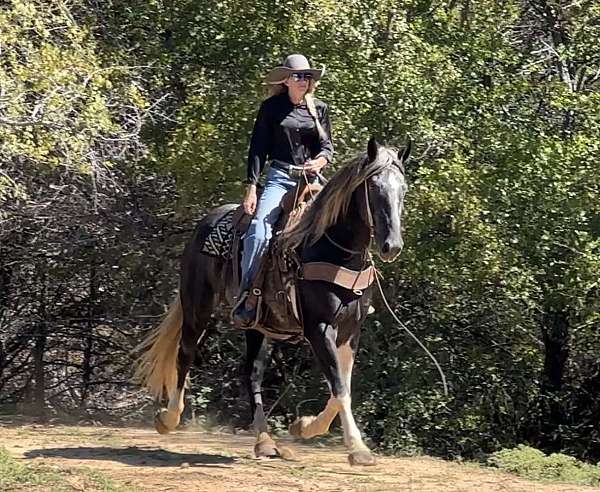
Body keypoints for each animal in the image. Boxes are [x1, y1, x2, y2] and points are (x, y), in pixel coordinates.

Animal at [133, 137, 410, 466]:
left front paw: (303, 427)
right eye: (374, 187)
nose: (392, 245)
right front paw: (357, 449)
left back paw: (265, 441)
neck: (333, 249)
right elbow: (340, 388)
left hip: (259, 327)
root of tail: (207, 221)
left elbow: (341, 388)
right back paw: (168, 418)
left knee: (251, 374)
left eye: (403, 189)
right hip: (196, 307)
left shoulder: (350, 331)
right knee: (185, 354)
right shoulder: (319, 329)